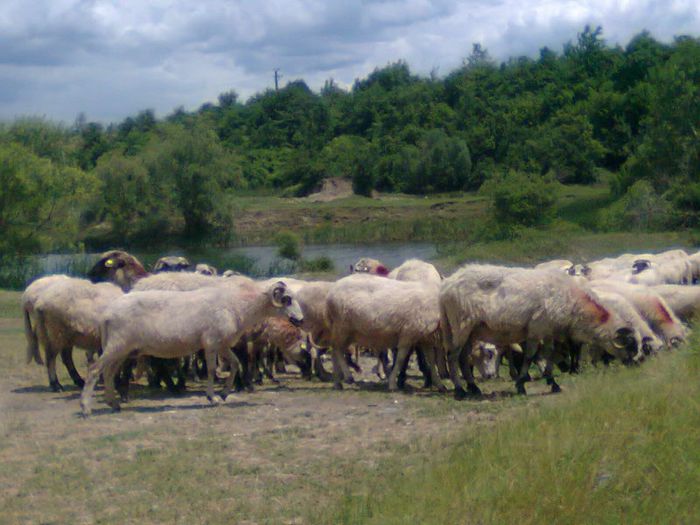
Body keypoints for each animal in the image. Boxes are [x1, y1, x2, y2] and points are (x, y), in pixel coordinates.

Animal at [80, 278, 304, 414]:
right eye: (286, 299)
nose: (300, 320)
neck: (239, 306)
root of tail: (107, 313)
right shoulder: (211, 342)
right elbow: (212, 369)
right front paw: (212, 397)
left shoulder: (222, 344)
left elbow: (234, 364)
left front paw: (224, 393)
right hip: (117, 345)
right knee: (94, 370)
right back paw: (86, 408)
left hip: (121, 348)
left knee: (108, 373)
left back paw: (113, 403)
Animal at [440, 266, 644, 398]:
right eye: (630, 345)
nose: (636, 365)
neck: (574, 304)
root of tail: (446, 286)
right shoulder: (536, 328)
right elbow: (530, 355)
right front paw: (521, 384)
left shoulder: (548, 331)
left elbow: (549, 353)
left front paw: (552, 382)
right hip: (461, 326)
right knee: (452, 356)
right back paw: (460, 390)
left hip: (470, 331)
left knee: (463, 358)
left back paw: (473, 387)